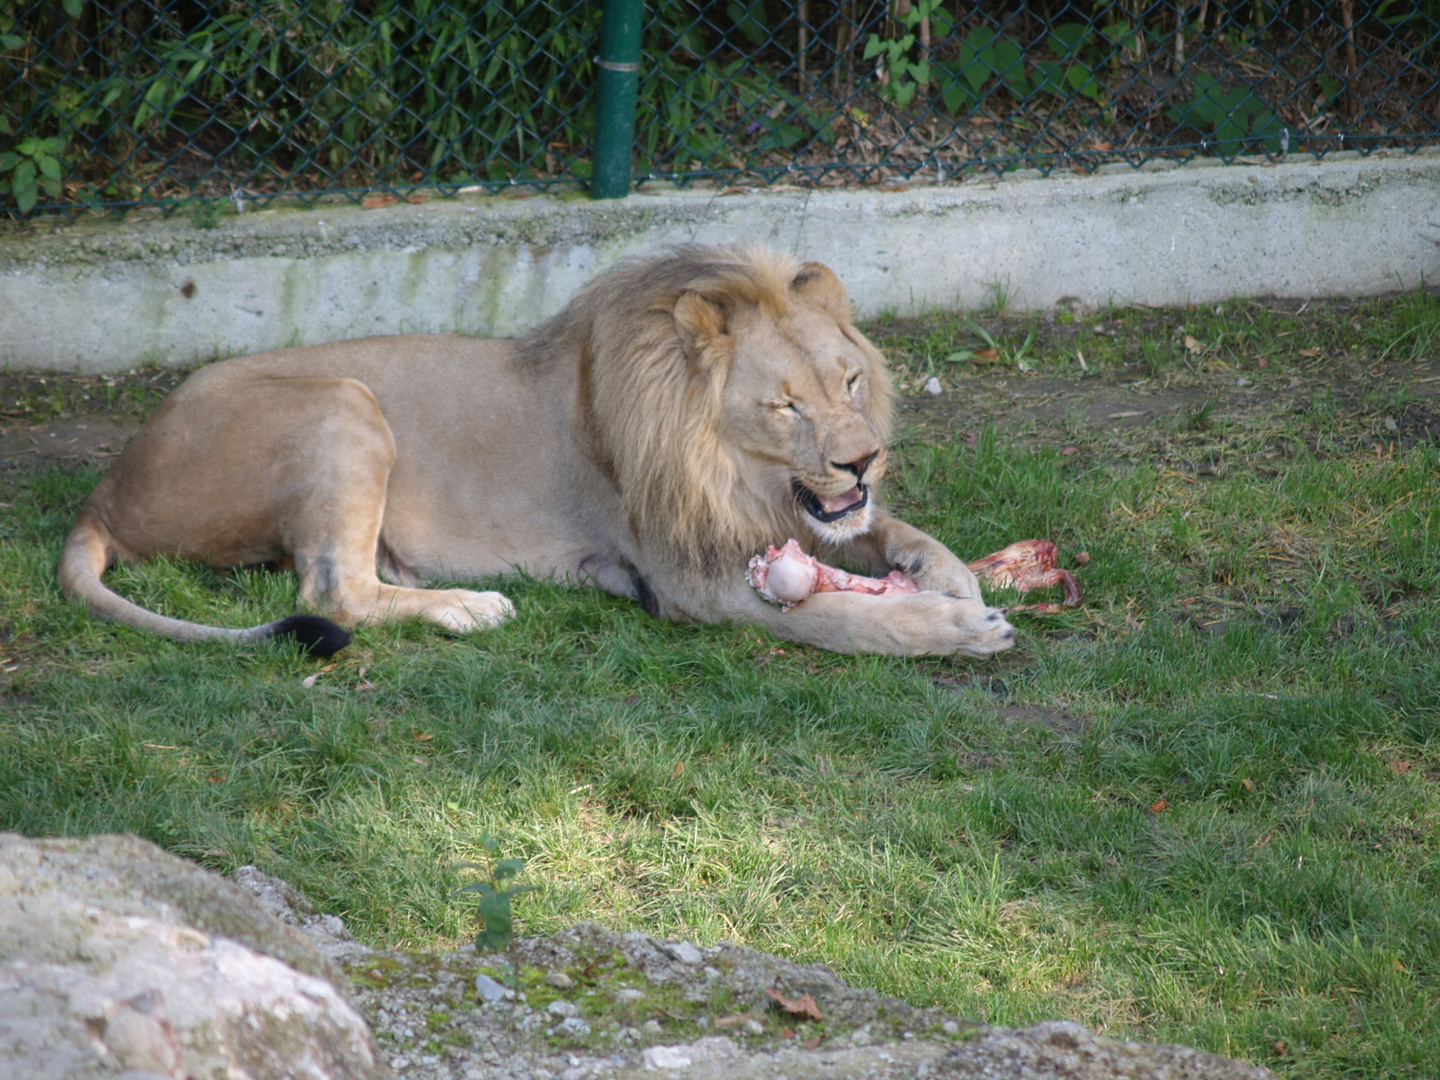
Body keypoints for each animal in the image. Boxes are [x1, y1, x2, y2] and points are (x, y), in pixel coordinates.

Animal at [61, 247, 1019, 659]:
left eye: (851, 382)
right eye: (785, 406)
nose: (864, 459)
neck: (738, 474)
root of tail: (106, 489)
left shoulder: (809, 512)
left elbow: (896, 534)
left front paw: (953, 580)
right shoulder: (688, 582)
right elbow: (833, 617)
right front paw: (956, 629)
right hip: (345, 404)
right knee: (331, 590)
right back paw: (466, 608)